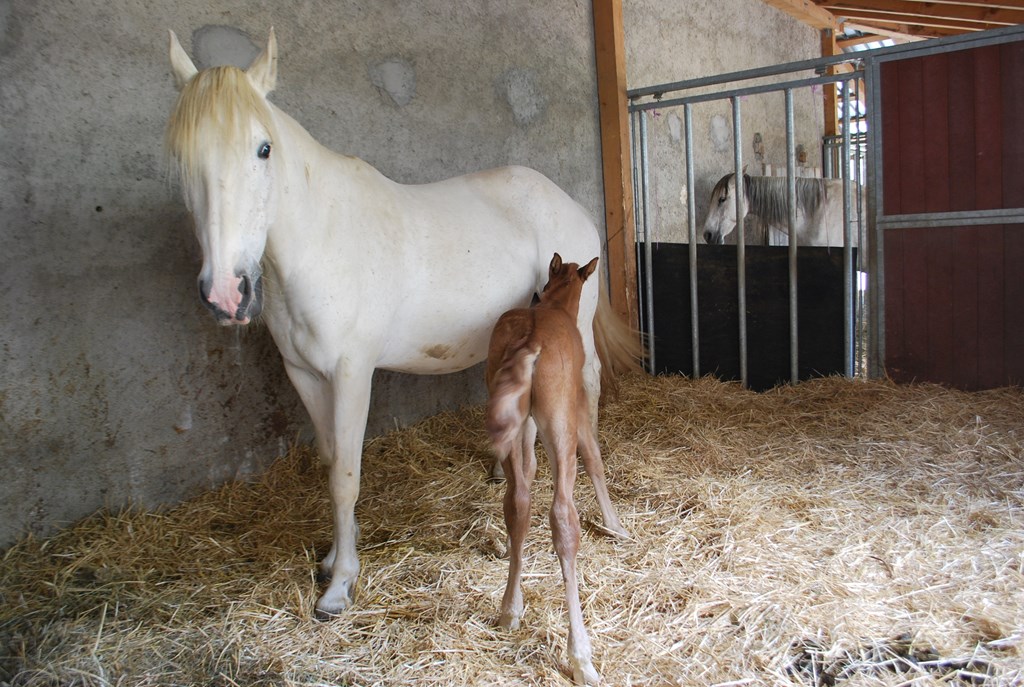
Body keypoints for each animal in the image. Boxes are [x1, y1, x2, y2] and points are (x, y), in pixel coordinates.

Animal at [164, 29, 640, 618]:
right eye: (182, 154)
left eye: (264, 148)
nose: (226, 294)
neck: (322, 240)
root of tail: (570, 204)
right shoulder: (303, 374)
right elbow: (330, 459)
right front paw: (332, 556)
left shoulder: (351, 374)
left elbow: (345, 476)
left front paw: (340, 583)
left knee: (589, 398)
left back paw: (608, 513)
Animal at [486, 253, 619, 686]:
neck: (554, 307)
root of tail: (530, 340)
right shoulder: (576, 407)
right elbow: (594, 456)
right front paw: (616, 525)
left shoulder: (524, 423)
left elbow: (526, 481)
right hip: (559, 423)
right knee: (562, 516)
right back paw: (581, 656)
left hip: (514, 422)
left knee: (518, 502)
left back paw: (510, 610)